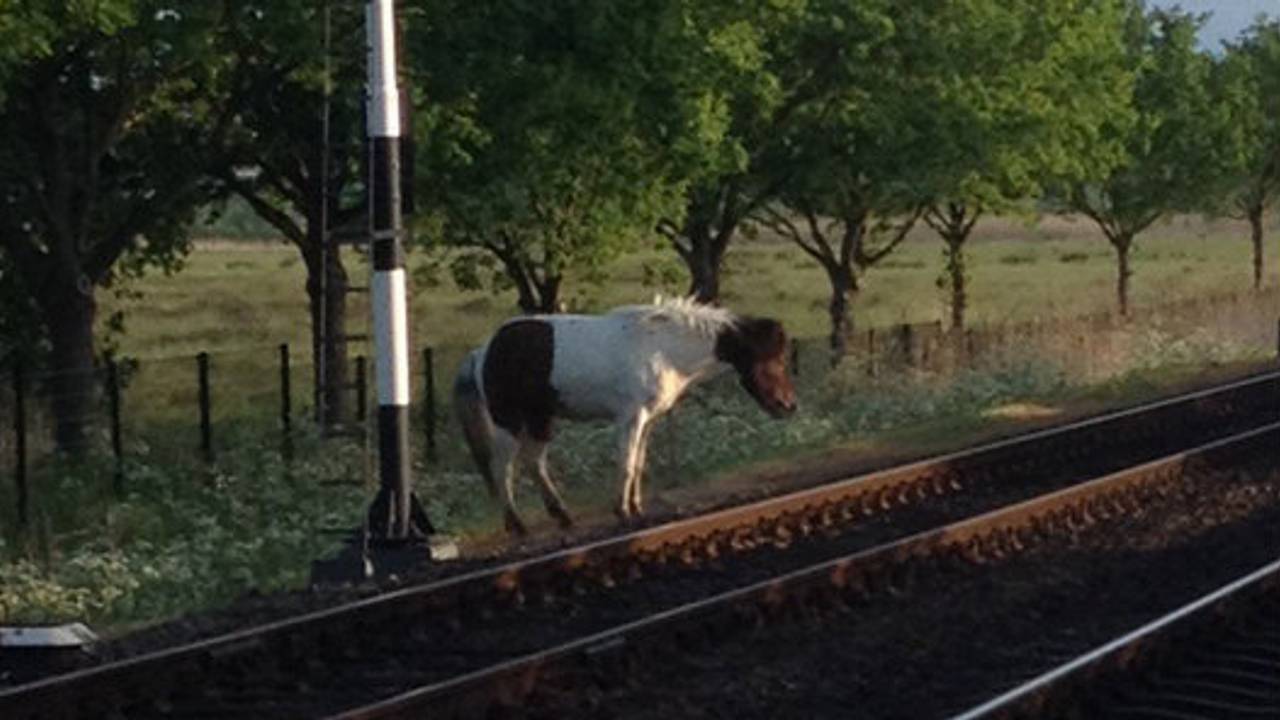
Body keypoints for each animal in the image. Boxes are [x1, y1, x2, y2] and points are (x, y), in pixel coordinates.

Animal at [453, 296, 797, 536]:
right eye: (774, 359)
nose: (787, 406)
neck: (663, 350)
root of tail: (482, 352)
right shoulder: (632, 417)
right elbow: (628, 463)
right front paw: (622, 512)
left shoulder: (648, 420)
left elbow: (638, 463)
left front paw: (636, 507)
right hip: (509, 421)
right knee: (503, 468)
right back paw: (518, 525)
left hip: (541, 418)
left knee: (534, 462)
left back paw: (562, 515)